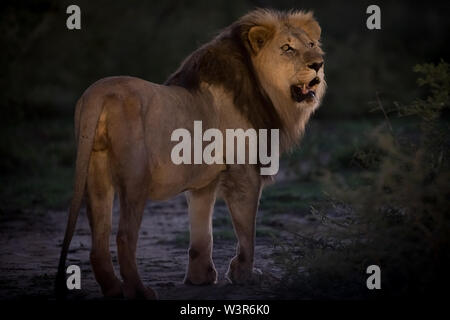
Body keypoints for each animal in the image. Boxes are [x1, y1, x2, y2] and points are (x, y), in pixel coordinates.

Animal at [56, 9, 326, 300]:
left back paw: (114, 289)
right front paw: (245, 275)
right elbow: (247, 230)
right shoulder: (244, 172)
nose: (319, 64)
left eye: (311, 44)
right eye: (287, 48)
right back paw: (141, 291)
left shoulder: (203, 182)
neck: (265, 90)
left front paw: (200, 278)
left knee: (99, 241)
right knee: (124, 237)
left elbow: (201, 230)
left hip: (96, 174)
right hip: (136, 179)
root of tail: (98, 93)